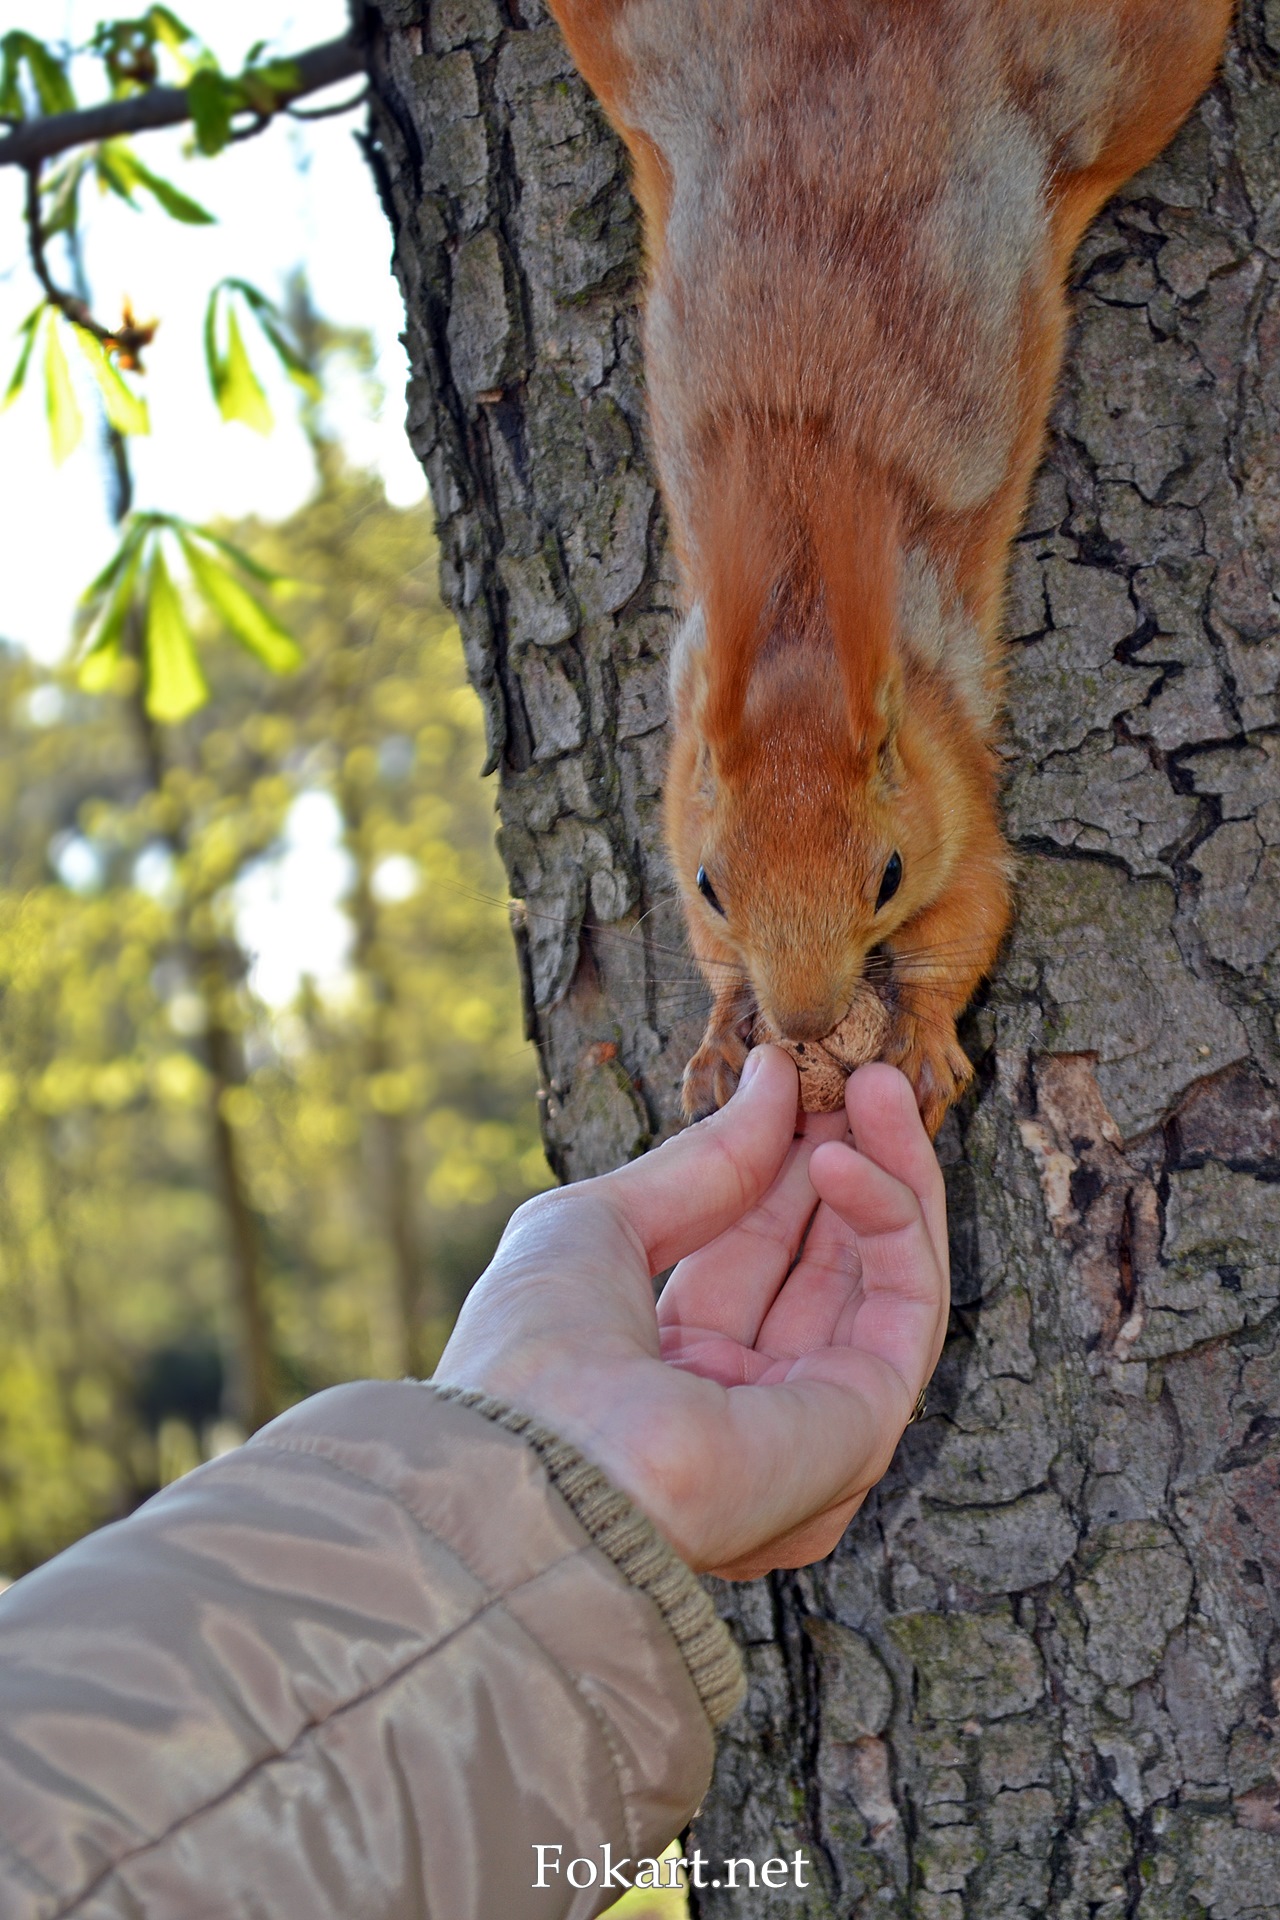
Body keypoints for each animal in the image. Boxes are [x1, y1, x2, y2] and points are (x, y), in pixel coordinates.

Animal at [547, 0, 1234, 1134]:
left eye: (888, 875)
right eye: (711, 885)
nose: (804, 1021)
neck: (801, 619)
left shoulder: (954, 775)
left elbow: (973, 913)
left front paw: (917, 1040)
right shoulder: (683, 787)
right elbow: (709, 952)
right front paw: (716, 1037)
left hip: (1136, 72)